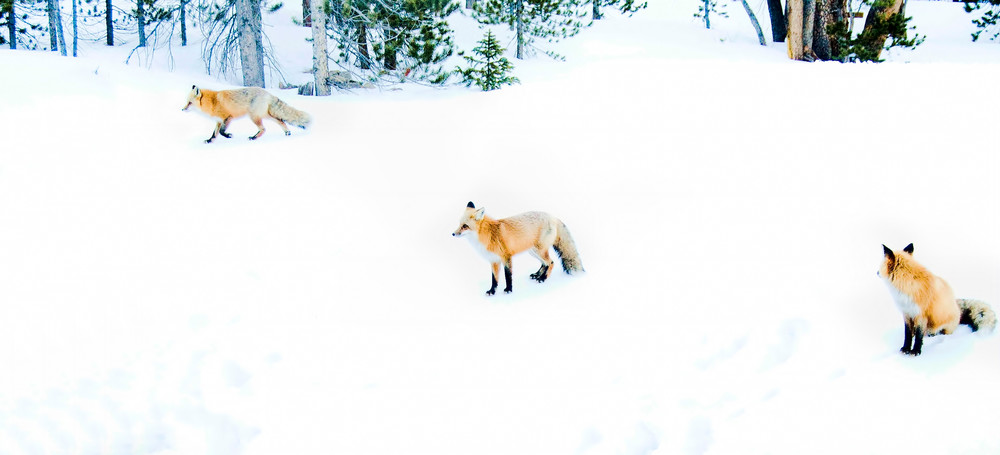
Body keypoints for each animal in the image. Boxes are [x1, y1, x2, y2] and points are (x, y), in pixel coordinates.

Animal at [182, 85, 311, 143]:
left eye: (189, 103)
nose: (182, 109)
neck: (213, 102)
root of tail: (267, 93)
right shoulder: (218, 121)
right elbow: (214, 133)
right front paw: (209, 141)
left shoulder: (228, 118)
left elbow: (222, 132)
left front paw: (229, 135)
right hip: (265, 115)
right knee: (280, 120)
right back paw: (287, 132)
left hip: (254, 116)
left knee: (263, 129)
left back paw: (253, 137)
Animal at [452, 201, 584, 295]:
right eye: (459, 224)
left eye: (465, 226)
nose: (453, 234)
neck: (488, 234)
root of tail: (553, 217)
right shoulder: (494, 260)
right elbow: (494, 279)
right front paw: (492, 291)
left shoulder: (506, 257)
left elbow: (508, 276)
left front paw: (508, 290)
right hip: (533, 251)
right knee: (544, 263)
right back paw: (537, 275)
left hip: (539, 250)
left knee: (550, 262)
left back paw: (542, 278)